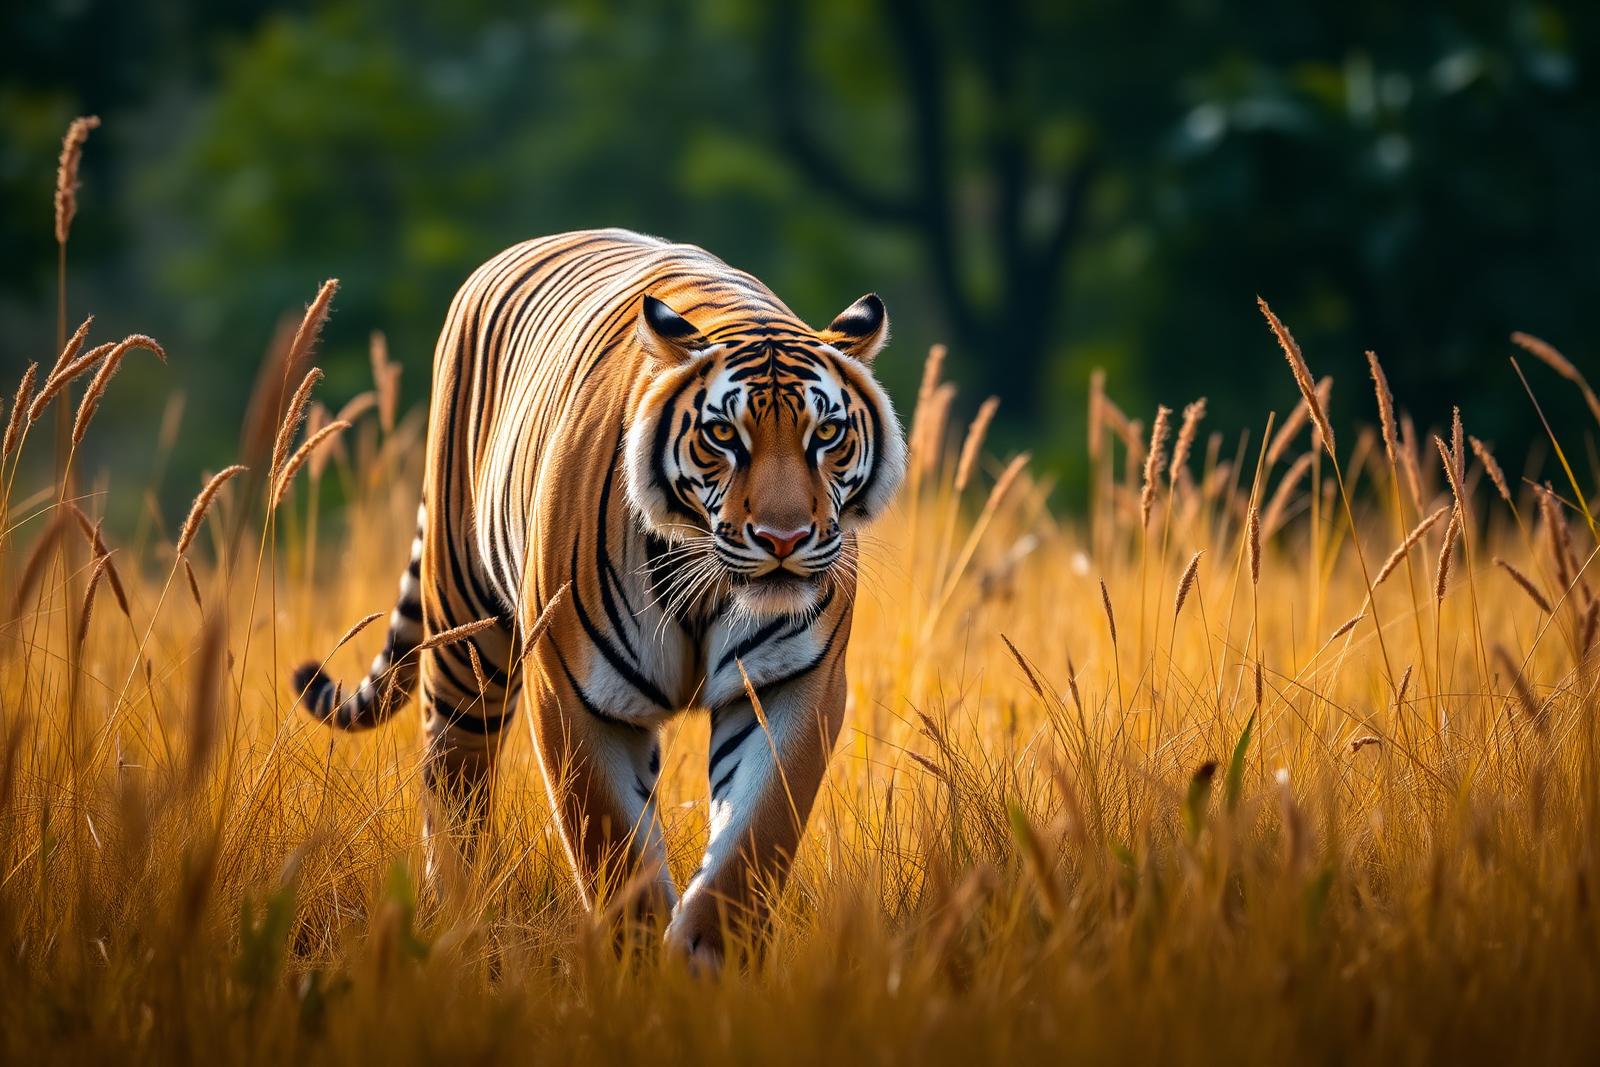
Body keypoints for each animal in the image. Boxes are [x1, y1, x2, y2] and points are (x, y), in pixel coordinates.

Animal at [291, 228, 904, 966]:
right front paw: (638, 969)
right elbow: (613, 853)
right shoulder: (576, 693)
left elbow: (753, 839)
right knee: (454, 780)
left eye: (827, 435)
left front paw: (708, 961)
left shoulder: (792, 683)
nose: (782, 539)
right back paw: (452, 913)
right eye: (724, 436)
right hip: (465, 634)